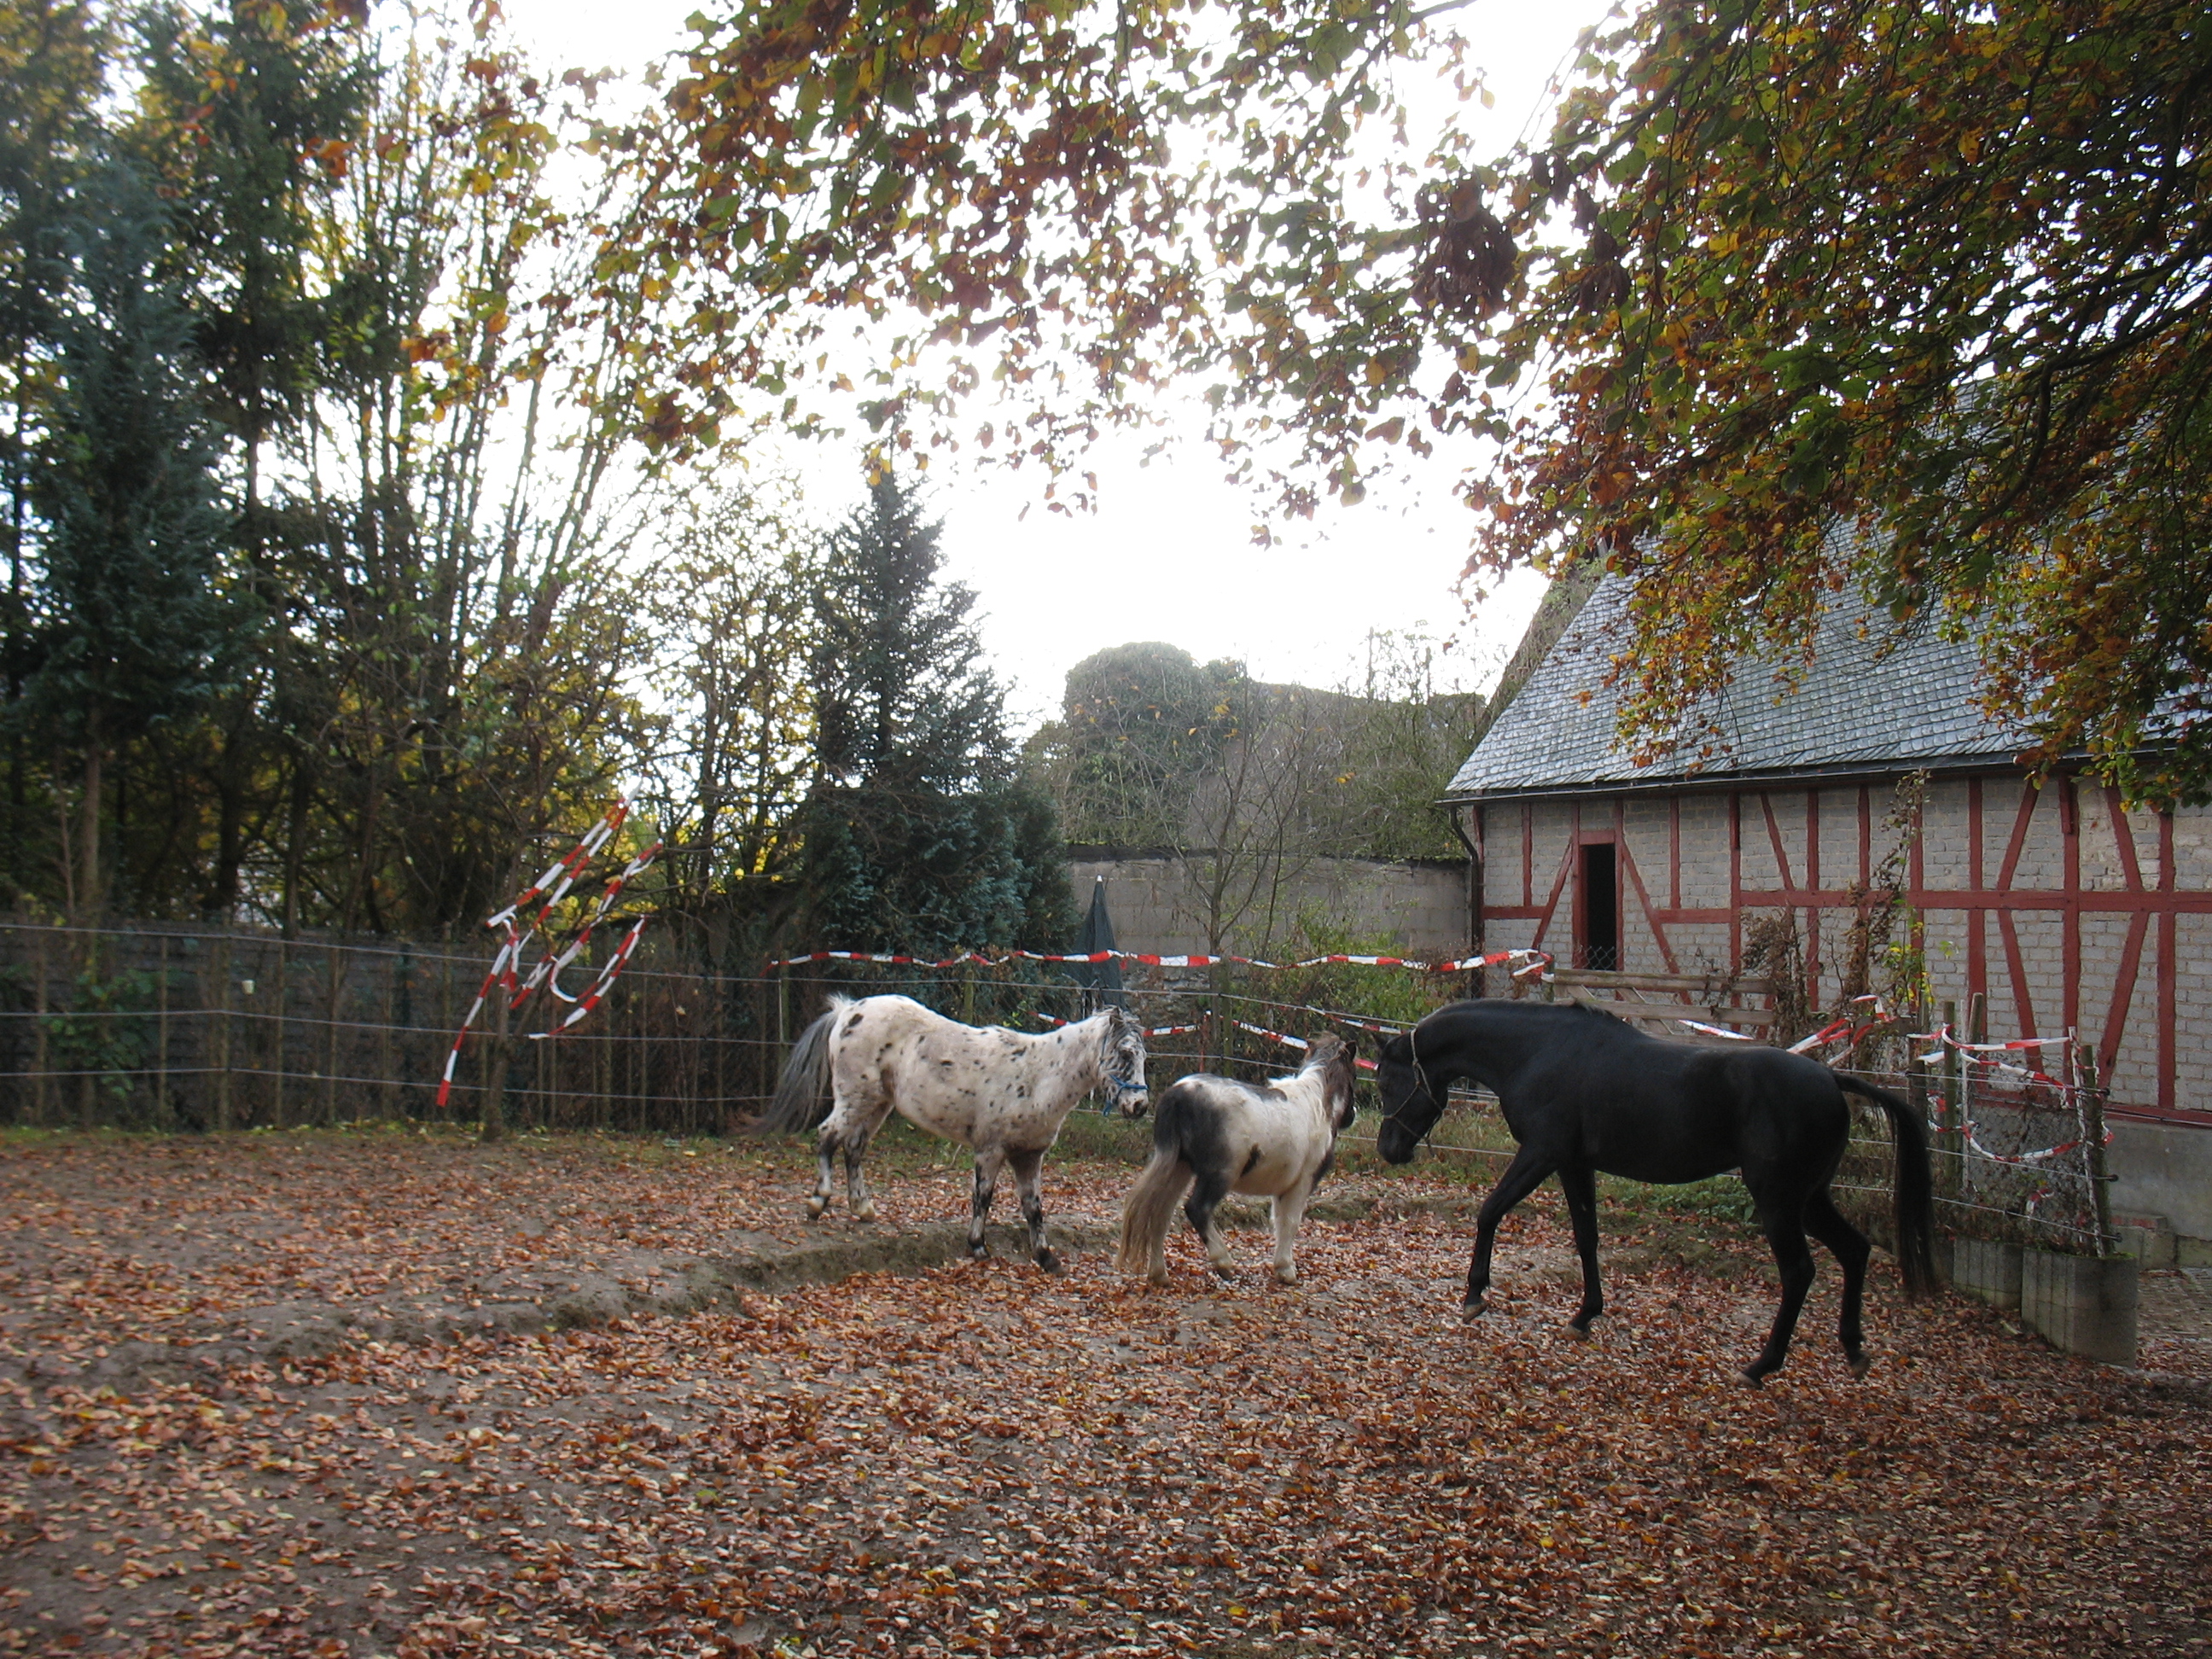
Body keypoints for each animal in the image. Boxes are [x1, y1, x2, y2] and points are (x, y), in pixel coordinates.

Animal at [753, 994, 1150, 1272]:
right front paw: (978, 1247)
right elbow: (983, 1198)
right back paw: (818, 1201)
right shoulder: (991, 1150)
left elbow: (1034, 1208)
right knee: (827, 1136)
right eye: (1124, 1053)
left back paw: (862, 1208)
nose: (1140, 1106)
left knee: (854, 1146)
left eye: (1143, 1056)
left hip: (877, 1103)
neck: (1038, 1075)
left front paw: (1046, 1257)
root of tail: (848, 1010)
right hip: (855, 1098)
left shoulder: (1029, 1156)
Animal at [1115, 1033, 1359, 1287]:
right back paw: (1223, 1263)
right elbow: (1290, 1222)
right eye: (1354, 1075)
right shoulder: (1302, 1182)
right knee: (1197, 1209)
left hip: (1179, 1168)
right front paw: (1286, 1270)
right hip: (1219, 1176)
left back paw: (1159, 1273)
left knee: (1159, 1213)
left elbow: (1278, 1220)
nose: (1352, 1114)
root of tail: (1179, 1094)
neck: (1318, 1104)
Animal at [1372, 999, 1935, 1383]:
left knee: (1799, 1271)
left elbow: (1490, 1211)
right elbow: (1586, 1238)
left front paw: (1474, 1295)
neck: (1539, 1053)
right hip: (1810, 1199)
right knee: (1854, 1250)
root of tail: (1829, 1077)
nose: (1389, 1149)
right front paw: (1584, 1316)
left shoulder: (1542, 1154)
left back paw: (1761, 1365)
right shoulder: (1575, 1165)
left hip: (1779, 1201)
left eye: (1388, 1083)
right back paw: (1853, 1349)